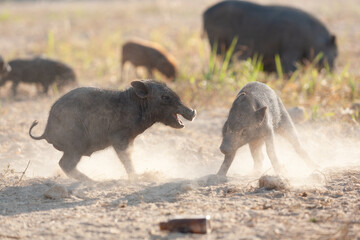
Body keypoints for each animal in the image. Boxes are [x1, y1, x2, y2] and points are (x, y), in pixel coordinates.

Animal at [29, 79, 195, 181]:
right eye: (165, 97)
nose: (192, 112)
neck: (136, 106)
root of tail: (46, 131)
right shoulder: (119, 138)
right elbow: (126, 157)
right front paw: (137, 178)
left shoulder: (130, 139)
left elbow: (129, 154)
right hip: (75, 146)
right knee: (65, 164)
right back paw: (94, 182)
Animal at [204, 0, 338, 73]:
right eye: (335, 54)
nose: (332, 72)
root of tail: (205, 12)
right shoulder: (290, 49)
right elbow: (290, 69)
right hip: (217, 42)